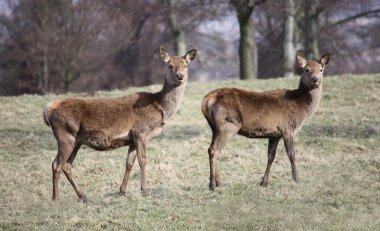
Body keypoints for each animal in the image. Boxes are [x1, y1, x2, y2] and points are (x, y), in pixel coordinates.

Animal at [43, 46, 197, 201]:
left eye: (186, 65)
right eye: (170, 65)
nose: (180, 76)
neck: (160, 108)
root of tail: (48, 109)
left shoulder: (132, 139)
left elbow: (129, 163)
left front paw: (122, 191)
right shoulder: (141, 132)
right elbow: (142, 160)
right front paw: (145, 190)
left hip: (76, 141)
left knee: (67, 165)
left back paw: (83, 196)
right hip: (65, 136)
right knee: (56, 164)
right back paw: (55, 198)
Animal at [202, 52, 330, 189]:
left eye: (321, 69)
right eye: (307, 69)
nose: (315, 80)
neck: (301, 107)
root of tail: (208, 99)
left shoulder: (275, 134)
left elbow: (270, 156)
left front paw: (264, 182)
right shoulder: (288, 129)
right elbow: (292, 154)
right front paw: (296, 179)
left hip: (215, 128)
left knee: (212, 149)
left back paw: (218, 182)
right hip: (228, 124)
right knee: (214, 150)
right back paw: (213, 185)